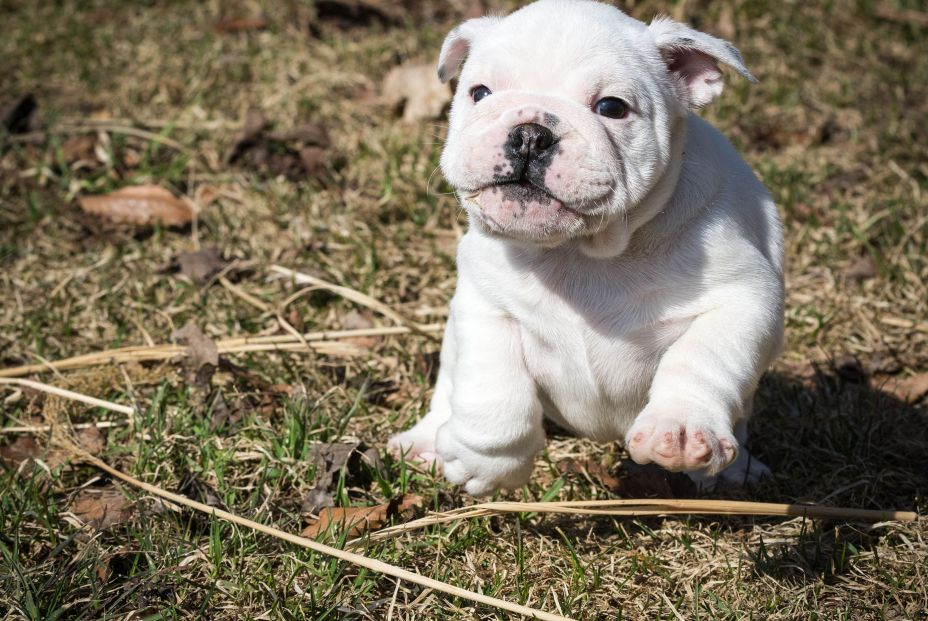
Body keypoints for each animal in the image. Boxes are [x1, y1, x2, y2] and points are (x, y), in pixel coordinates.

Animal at [388, 0, 788, 494]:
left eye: (612, 107)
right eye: (479, 93)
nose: (530, 132)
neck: (580, 249)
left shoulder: (743, 298)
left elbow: (701, 358)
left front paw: (678, 429)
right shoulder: (485, 305)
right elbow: (494, 391)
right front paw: (488, 463)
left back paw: (734, 475)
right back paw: (425, 441)